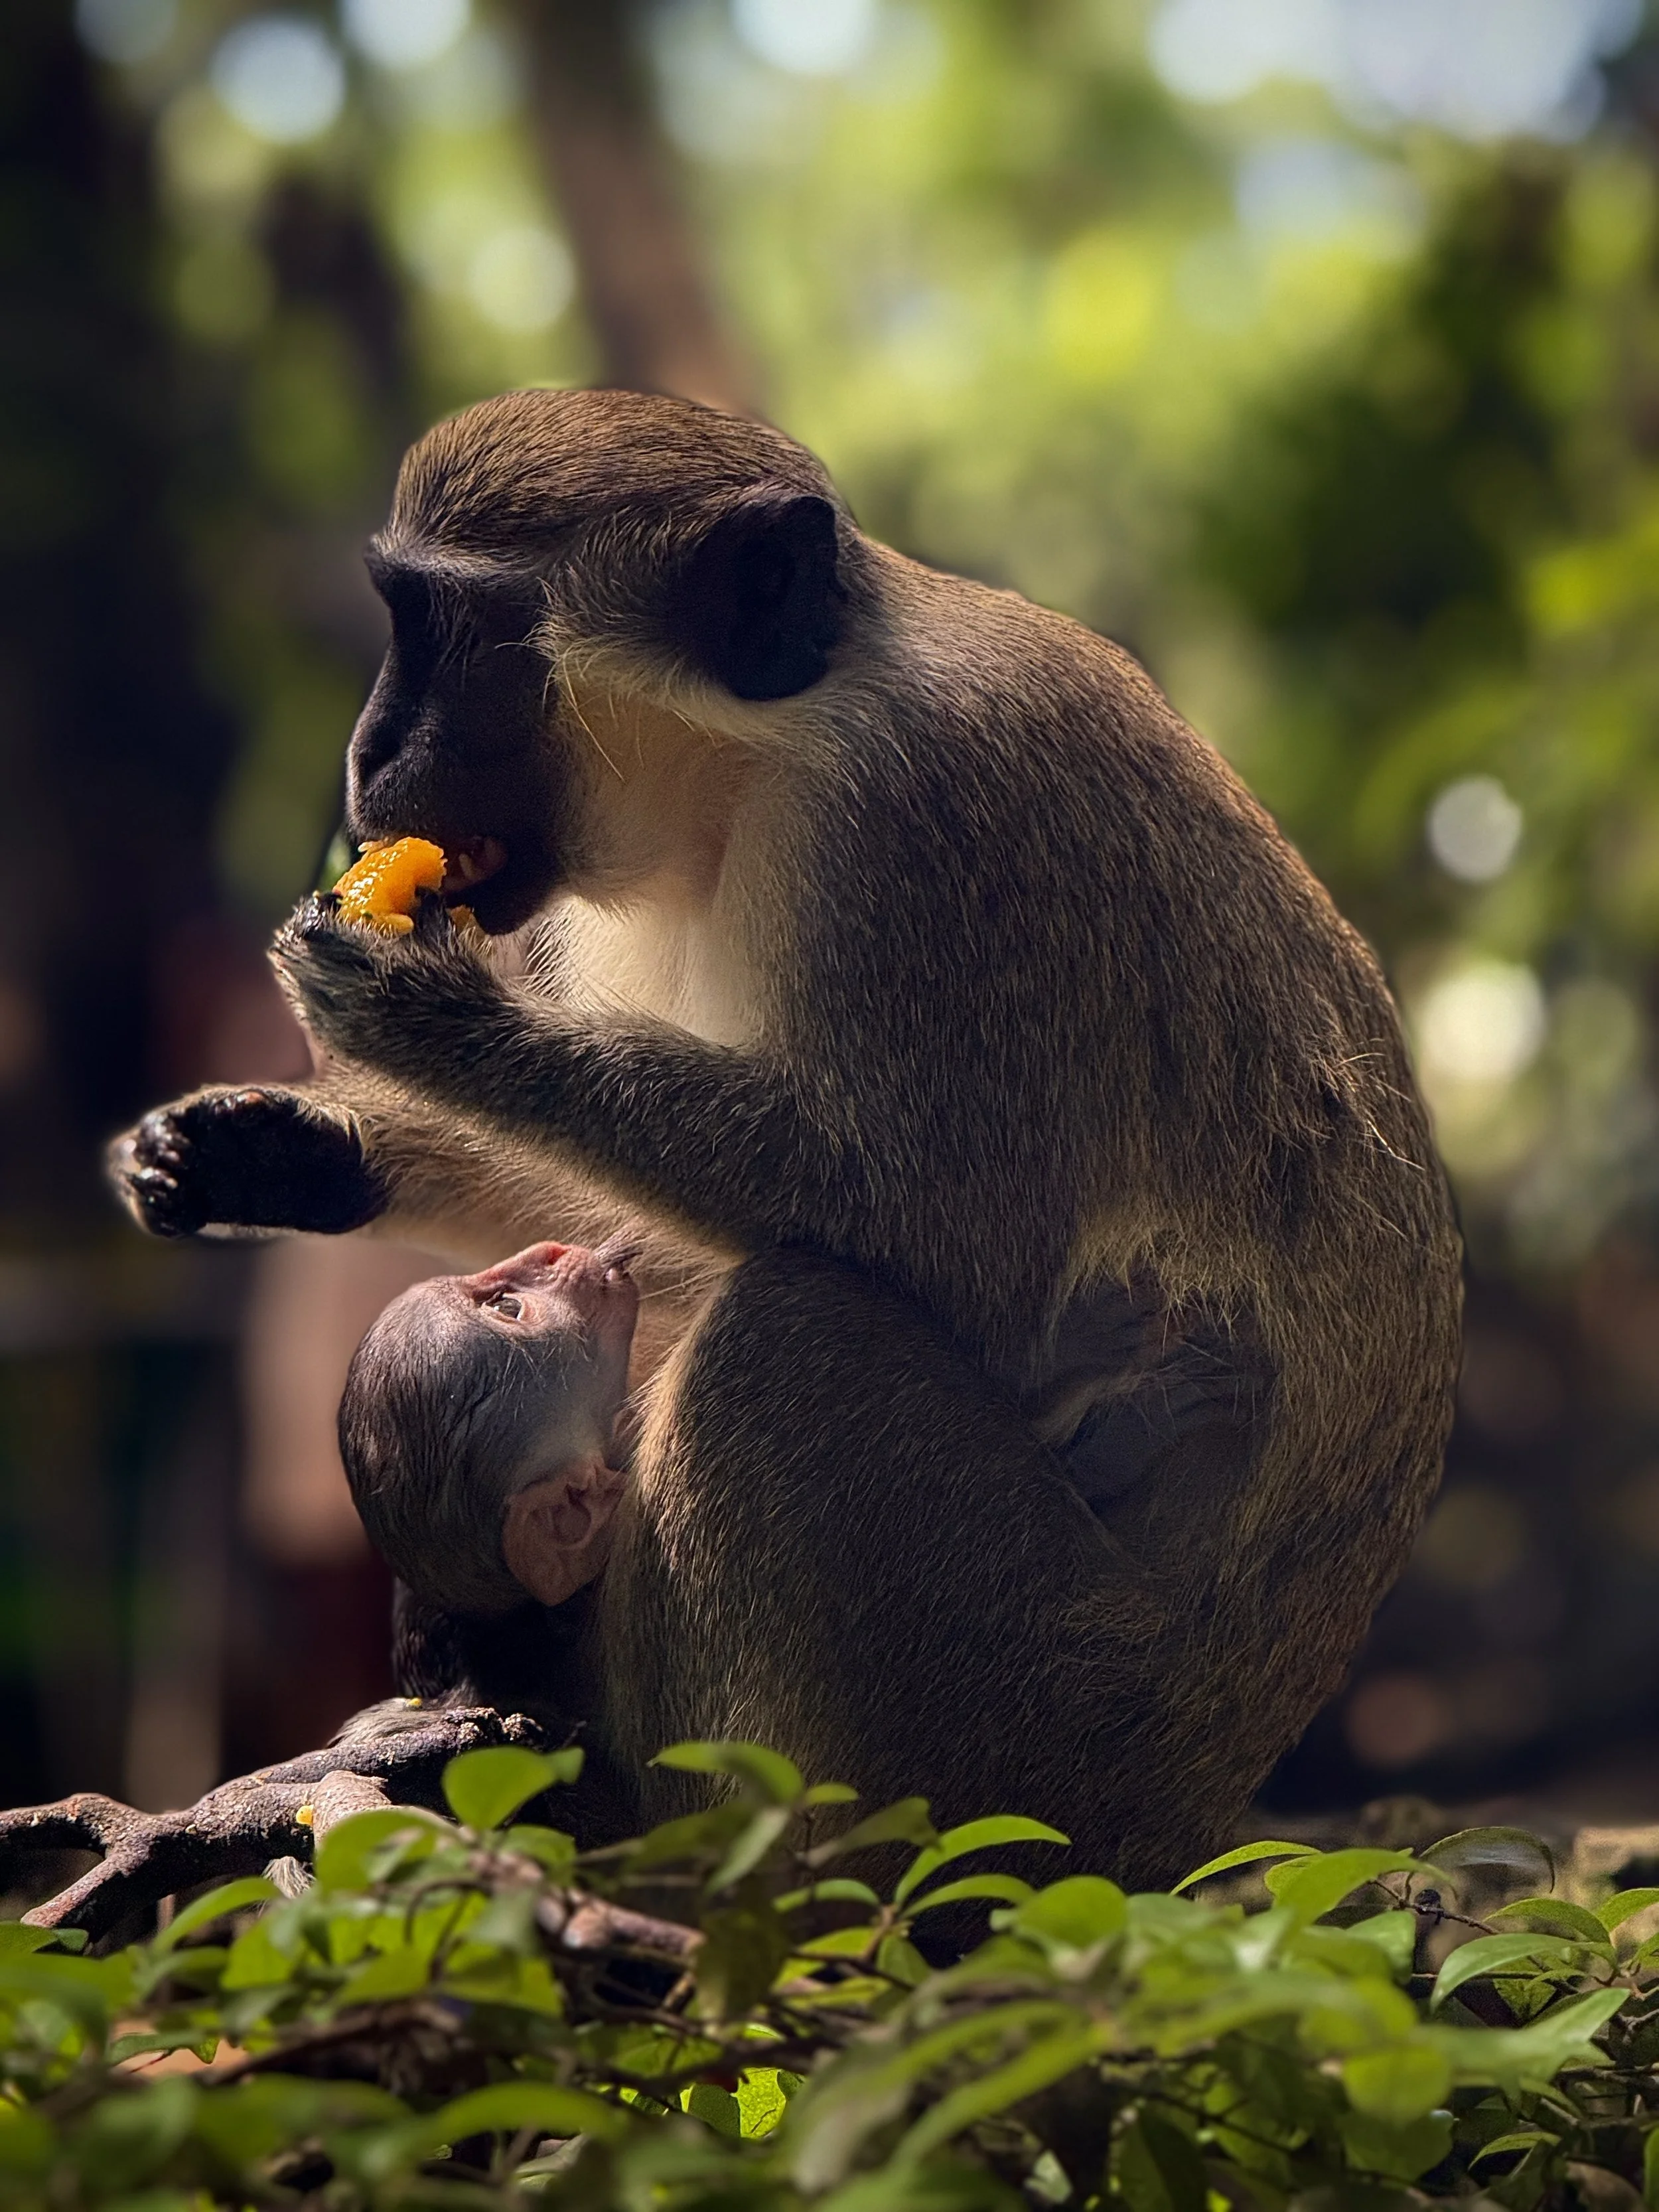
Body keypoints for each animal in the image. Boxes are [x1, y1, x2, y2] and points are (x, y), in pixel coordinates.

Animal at [107, 387, 1462, 1884]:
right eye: (399, 609)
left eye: (451, 627)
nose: (366, 753)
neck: (769, 749)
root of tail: (1186, 1816)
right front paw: (278, 1148)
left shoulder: (918, 828)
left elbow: (945, 1250)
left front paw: (428, 1020)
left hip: (1038, 1729)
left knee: (785, 1336)